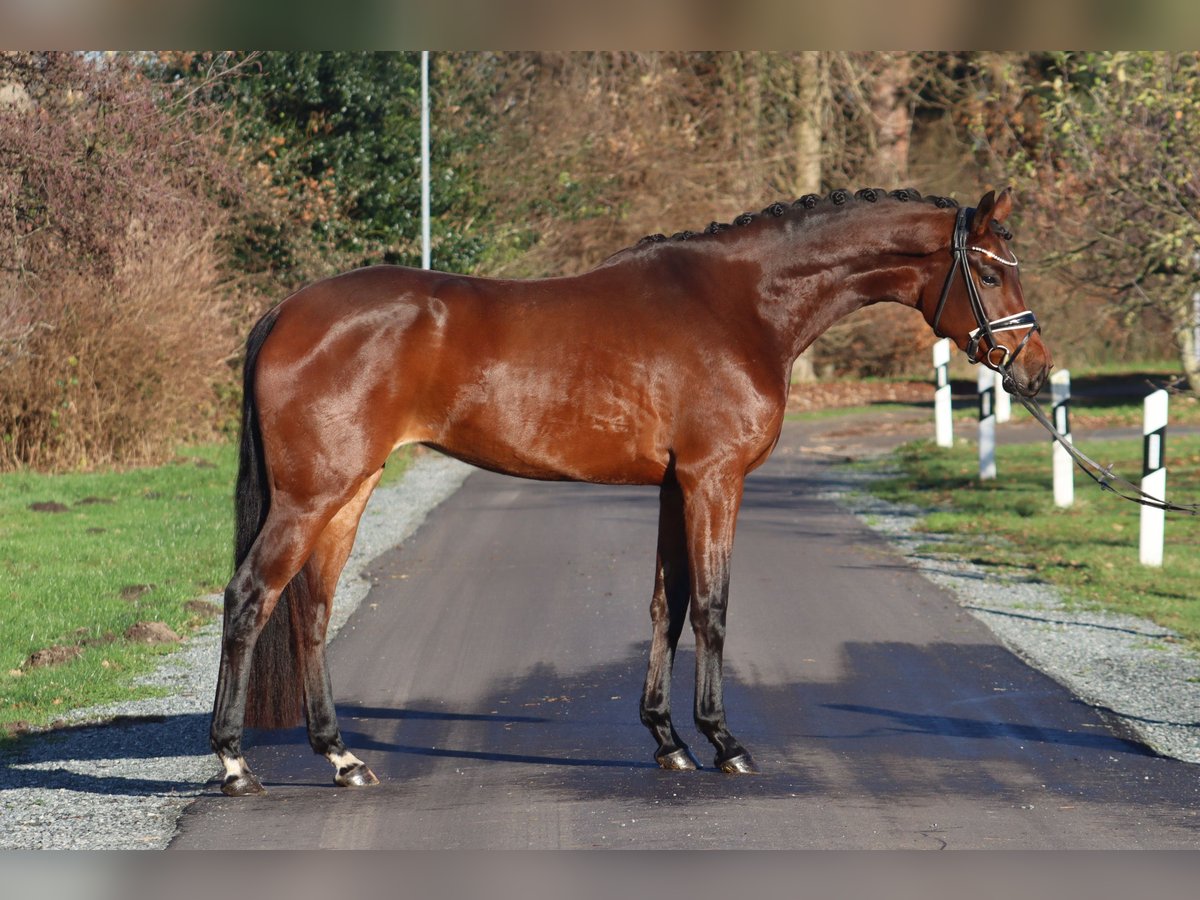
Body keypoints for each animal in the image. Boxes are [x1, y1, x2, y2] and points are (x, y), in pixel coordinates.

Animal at [213, 187, 1051, 792]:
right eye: (987, 270)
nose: (1037, 371)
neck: (741, 304)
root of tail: (288, 309)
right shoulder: (713, 480)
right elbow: (711, 606)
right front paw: (724, 742)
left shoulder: (674, 487)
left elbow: (666, 606)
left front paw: (667, 740)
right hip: (313, 495)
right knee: (251, 597)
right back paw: (233, 763)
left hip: (348, 491)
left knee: (311, 609)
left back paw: (342, 758)